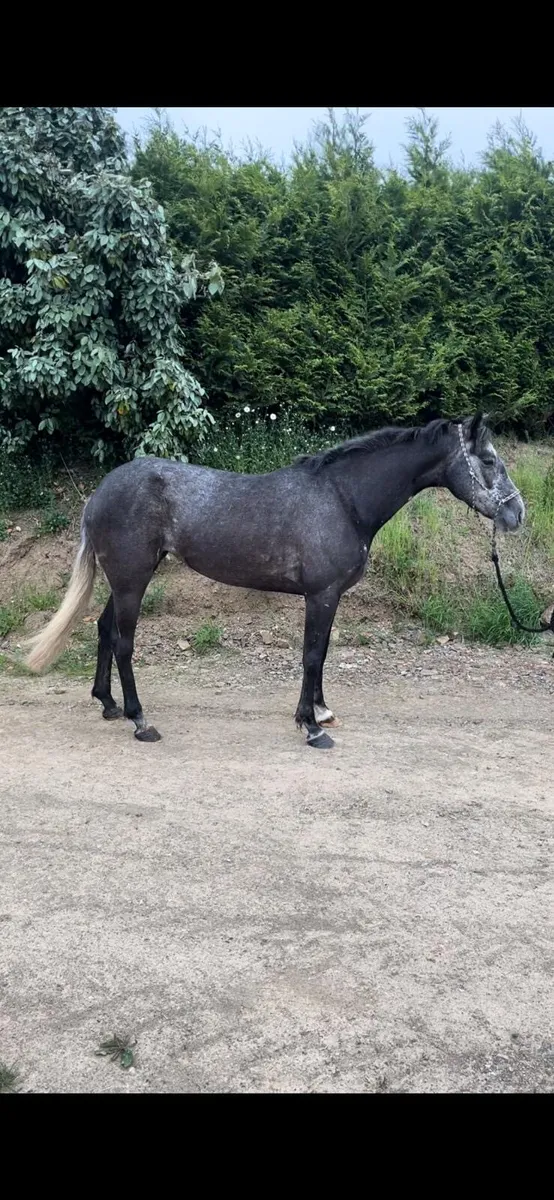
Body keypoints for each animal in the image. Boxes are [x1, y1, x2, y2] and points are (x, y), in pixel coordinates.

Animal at [25, 413, 525, 749]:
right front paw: (311, 727)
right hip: (132, 581)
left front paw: (321, 712)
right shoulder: (321, 596)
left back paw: (108, 705)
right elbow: (311, 656)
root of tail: (99, 494)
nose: (517, 513)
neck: (343, 500)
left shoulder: (329, 598)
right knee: (124, 643)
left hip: (125, 580)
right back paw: (140, 721)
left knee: (104, 630)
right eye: (487, 460)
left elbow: (322, 655)